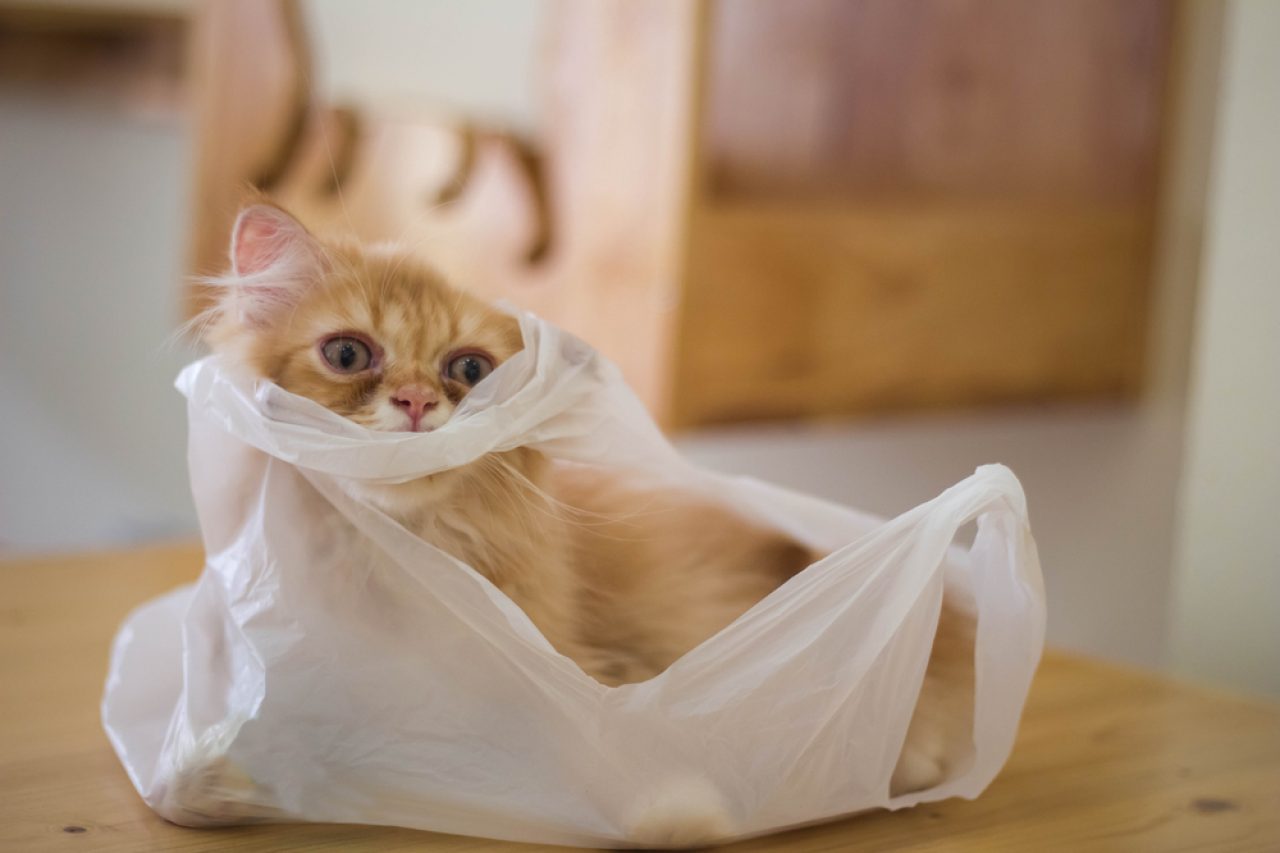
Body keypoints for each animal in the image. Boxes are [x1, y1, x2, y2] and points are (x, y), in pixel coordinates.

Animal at [204, 202, 972, 840]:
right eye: (347, 354)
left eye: (470, 370)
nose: (418, 402)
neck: (398, 564)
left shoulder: (578, 687)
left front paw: (679, 813)